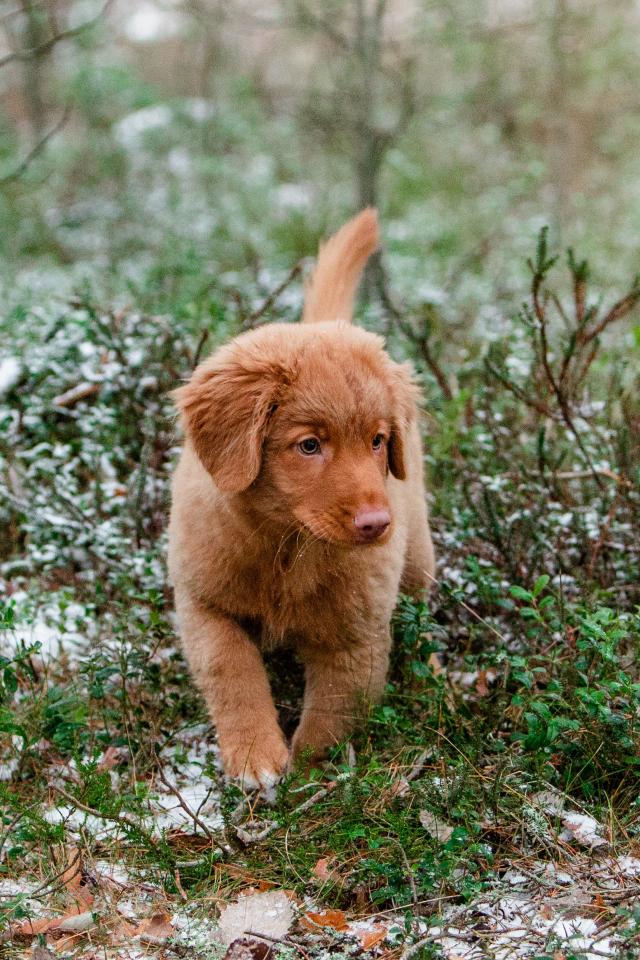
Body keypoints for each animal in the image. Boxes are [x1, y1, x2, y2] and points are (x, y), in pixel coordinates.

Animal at [168, 209, 435, 789]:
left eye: (377, 440)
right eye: (309, 445)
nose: (376, 523)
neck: (286, 547)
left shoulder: (357, 639)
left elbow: (331, 716)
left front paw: (312, 781)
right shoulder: (202, 601)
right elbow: (232, 667)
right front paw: (255, 756)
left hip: (419, 555)